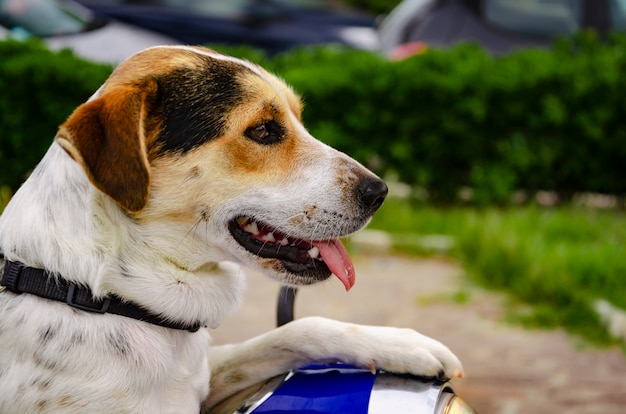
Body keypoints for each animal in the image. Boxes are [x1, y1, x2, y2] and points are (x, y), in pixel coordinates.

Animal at [0, 47, 458, 412]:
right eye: (262, 130)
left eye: (299, 119)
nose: (379, 192)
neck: (104, 295)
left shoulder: (201, 378)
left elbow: (298, 329)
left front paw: (405, 345)